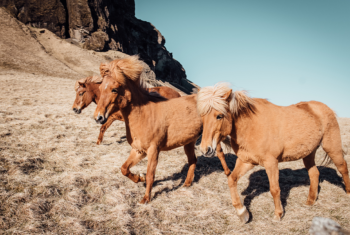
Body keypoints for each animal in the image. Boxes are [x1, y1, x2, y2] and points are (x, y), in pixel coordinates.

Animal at [93, 55, 232, 204]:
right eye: (100, 87)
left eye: (114, 89)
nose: (98, 117)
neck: (144, 115)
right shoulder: (138, 150)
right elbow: (124, 169)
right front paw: (139, 178)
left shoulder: (153, 151)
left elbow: (150, 175)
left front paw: (146, 199)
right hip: (189, 142)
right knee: (193, 160)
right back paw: (187, 184)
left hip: (211, 139)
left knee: (220, 153)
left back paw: (228, 173)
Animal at [197, 82, 350, 222]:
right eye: (202, 117)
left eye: (219, 116)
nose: (206, 149)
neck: (251, 126)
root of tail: (325, 108)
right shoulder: (246, 161)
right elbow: (231, 180)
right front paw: (242, 213)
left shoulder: (271, 162)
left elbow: (274, 189)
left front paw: (278, 214)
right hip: (308, 153)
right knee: (314, 173)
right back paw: (310, 201)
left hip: (332, 147)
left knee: (342, 167)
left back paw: (347, 192)